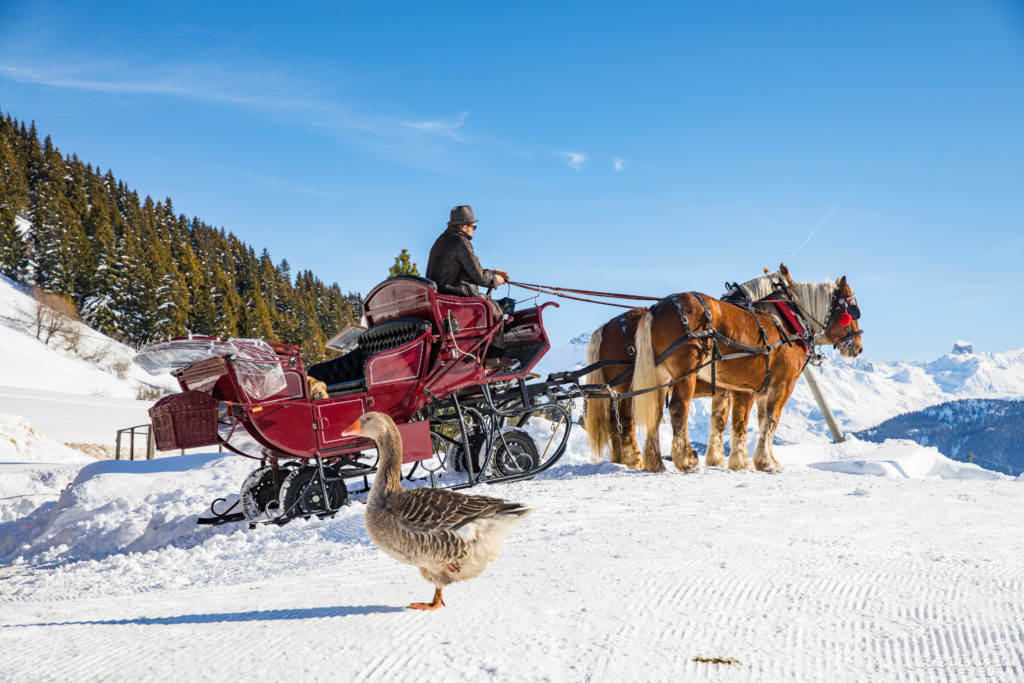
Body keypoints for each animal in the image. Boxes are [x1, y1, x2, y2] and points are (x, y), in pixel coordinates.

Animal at [585, 270, 864, 473]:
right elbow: (767, 422)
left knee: (645, 416)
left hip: (653, 380)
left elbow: (727, 422)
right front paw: (766, 462)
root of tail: (655, 309)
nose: (859, 347)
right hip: (674, 376)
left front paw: (729, 460)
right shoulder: (778, 386)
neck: (785, 322)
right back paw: (680, 460)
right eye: (852, 311)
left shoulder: (737, 389)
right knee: (670, 411)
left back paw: (650, 462)